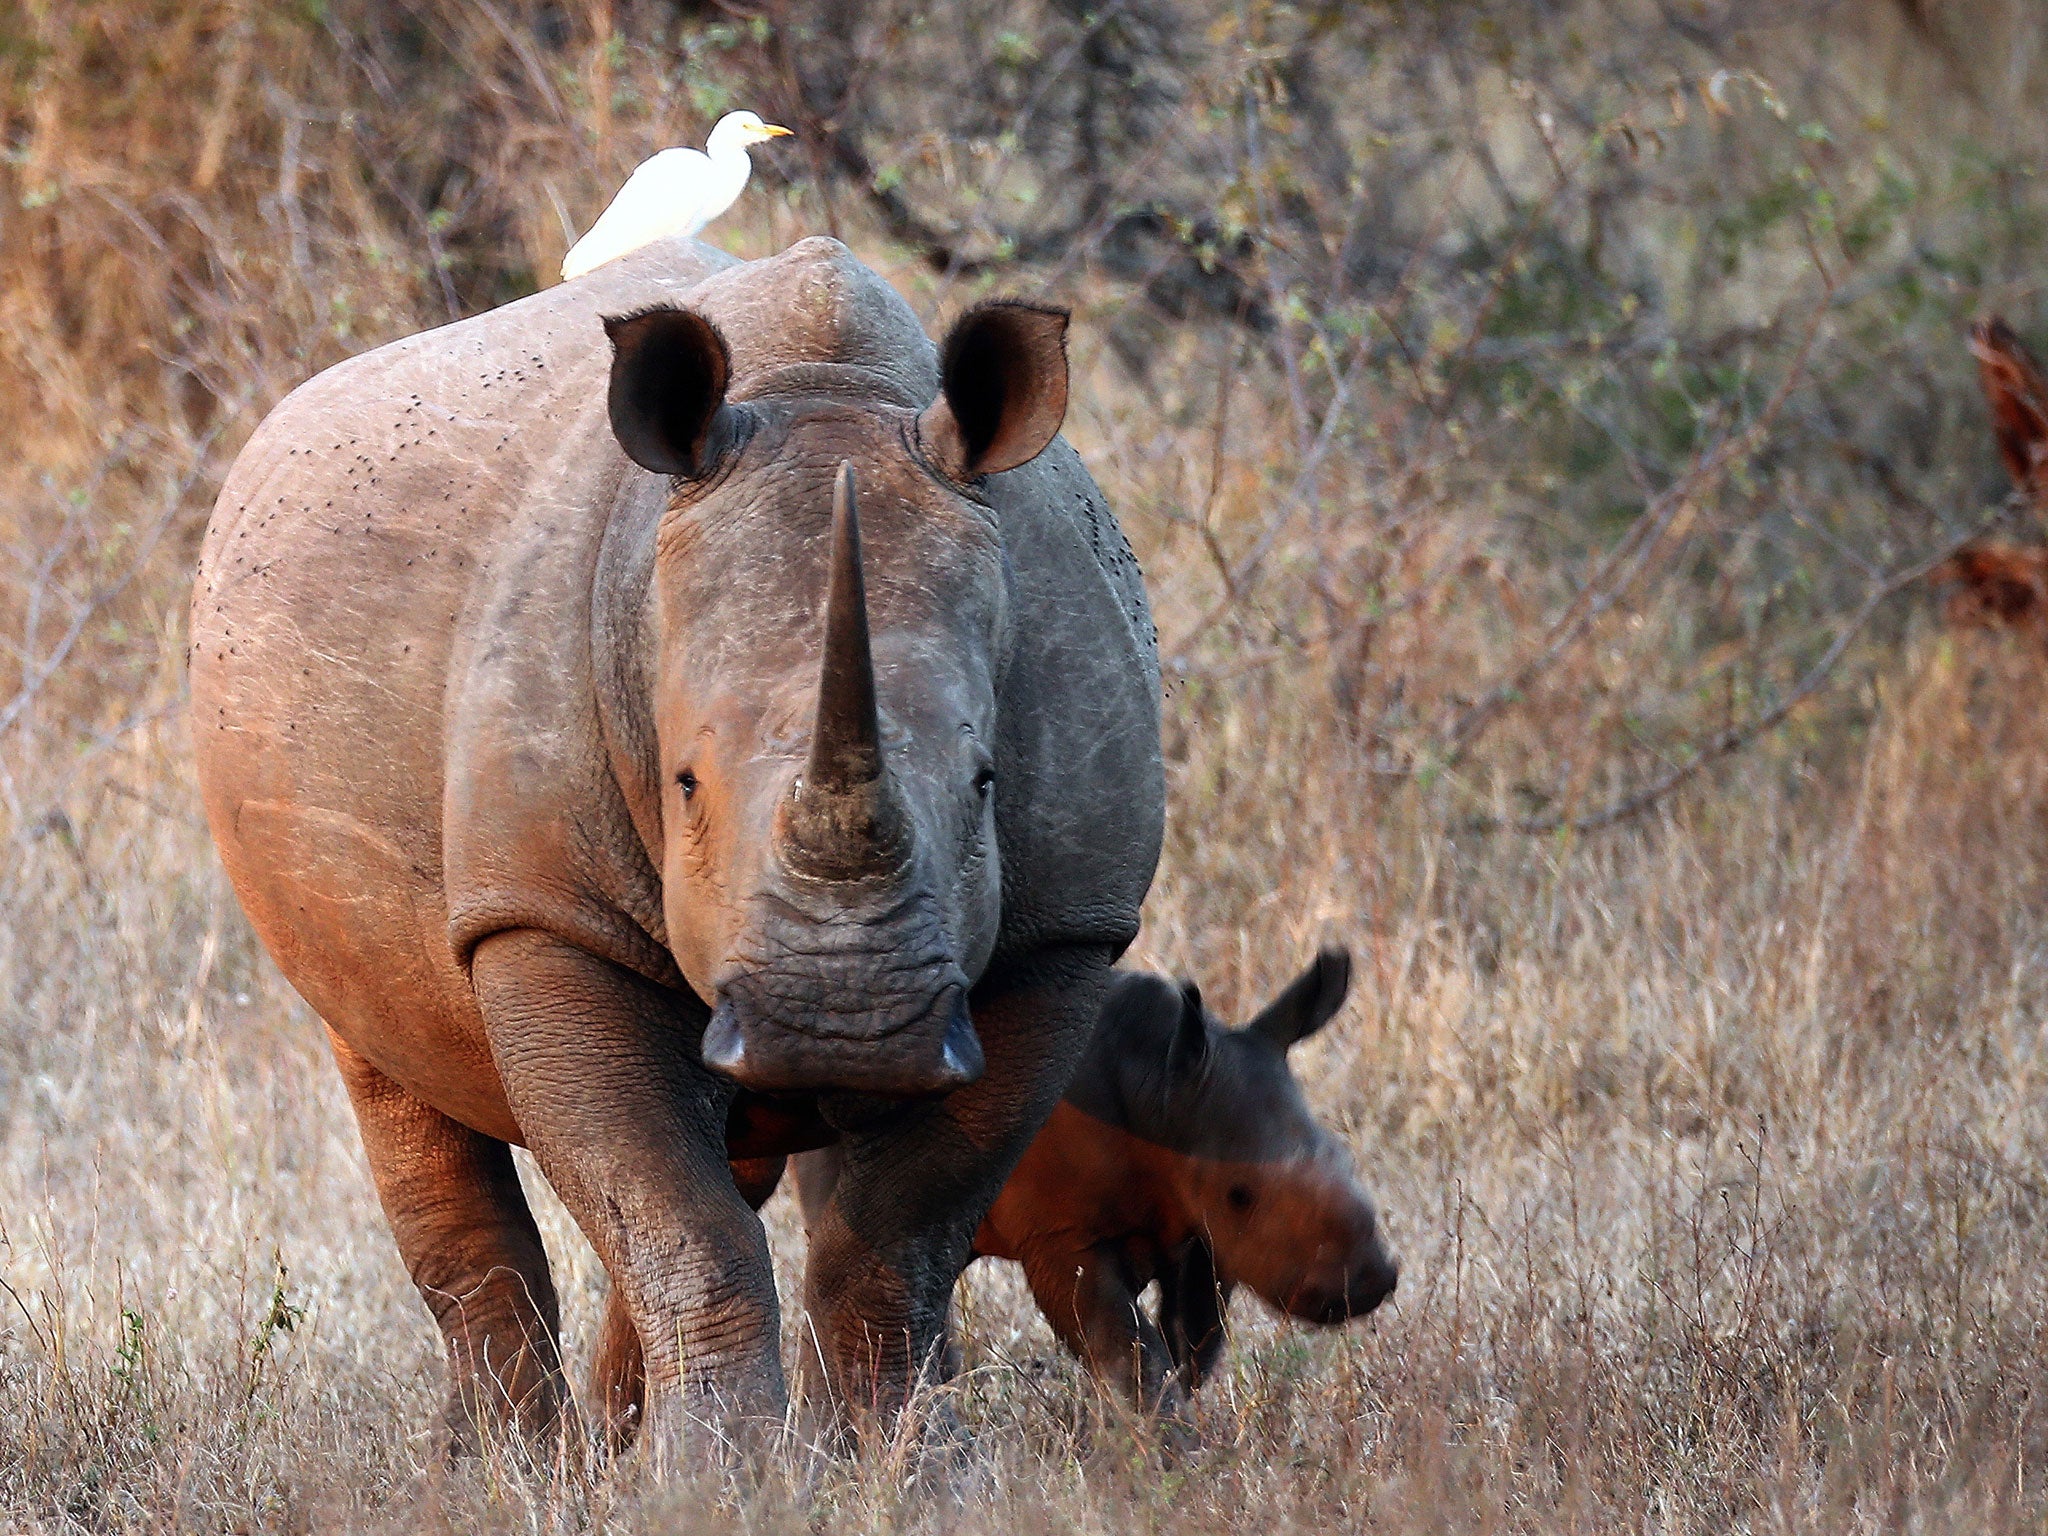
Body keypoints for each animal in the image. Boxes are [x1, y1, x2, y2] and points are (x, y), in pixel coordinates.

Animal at [190, 234, 1163, 1449]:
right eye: (685, 783)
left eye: (986, 783)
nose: (842, 1025)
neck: (822, 392)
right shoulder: (545, 915)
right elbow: (678, 1218)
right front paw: (721, 1470)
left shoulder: (1063, 931)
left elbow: (894, 1240)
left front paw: (900, 1463)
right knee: (394, 1076)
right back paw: (512, 1464)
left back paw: (604, 1446)